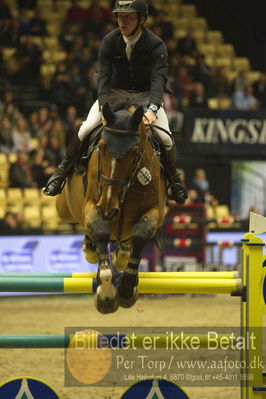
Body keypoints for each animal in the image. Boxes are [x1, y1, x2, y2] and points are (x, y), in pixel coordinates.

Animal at [56, 104, 166, 316]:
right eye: (101, 147)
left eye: (134, 151)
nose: (108, 209)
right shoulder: (92, 205)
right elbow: (100, 232)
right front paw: (106, 293)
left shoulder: (155, 212)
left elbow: (141, 234)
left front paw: (126, 288)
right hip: (63, 209)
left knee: (124, 243)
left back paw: (121, 255)